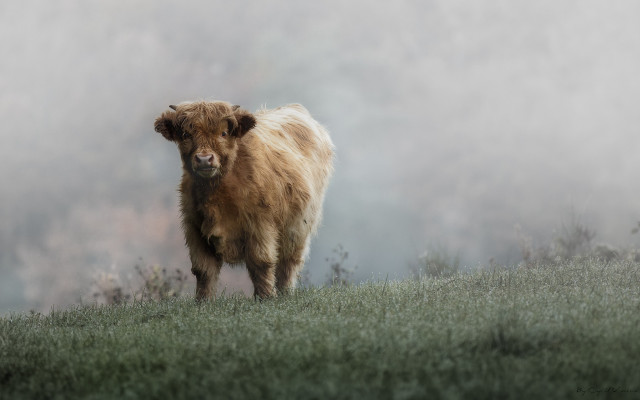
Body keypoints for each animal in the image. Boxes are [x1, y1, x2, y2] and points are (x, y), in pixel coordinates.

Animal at [154, 101, 334, 299]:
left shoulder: (260, 226)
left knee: (289, 263)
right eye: (186, 134)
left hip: (299, 226)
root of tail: (295, 107)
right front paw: (203, 301)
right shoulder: (194, 229)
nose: (204, 159)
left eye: (223, 133)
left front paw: (265, 298)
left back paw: (285, 293)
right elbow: (203, 270)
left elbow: (260, 263)